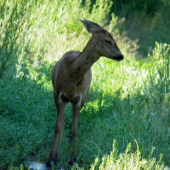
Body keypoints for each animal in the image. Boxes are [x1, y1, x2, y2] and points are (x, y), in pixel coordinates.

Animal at [46, 18, 123, 166]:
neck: (71, 78)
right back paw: (55, 157)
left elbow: (74, 130)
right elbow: (57, 126)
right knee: (62, 122)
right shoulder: (60, 95)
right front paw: (50, 159)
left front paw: (74, 160)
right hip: (54, 93)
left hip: (85, 97)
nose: (121, 56)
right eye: (107, 40)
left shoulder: (78, 99)